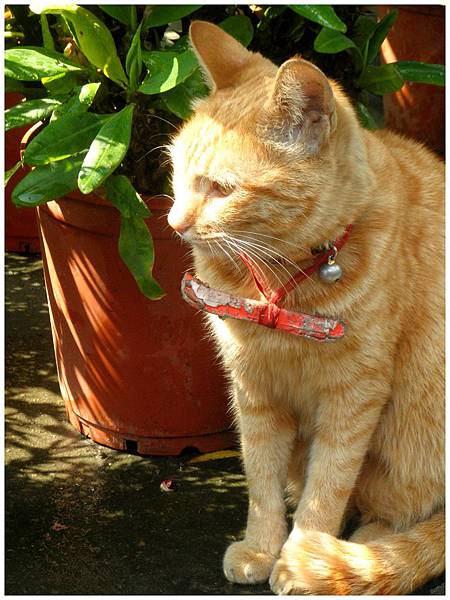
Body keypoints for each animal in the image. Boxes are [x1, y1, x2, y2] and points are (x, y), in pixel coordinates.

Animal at [168, 20, 444, 595]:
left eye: (222, 189)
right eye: (176, 173)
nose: (174, 223)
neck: (279, 285)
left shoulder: (355, 397)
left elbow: (327, 488)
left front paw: (298, 557)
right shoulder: (253, 390)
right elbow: (262, 479)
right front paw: (261, 547)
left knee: (408, 513)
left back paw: (353, 549)